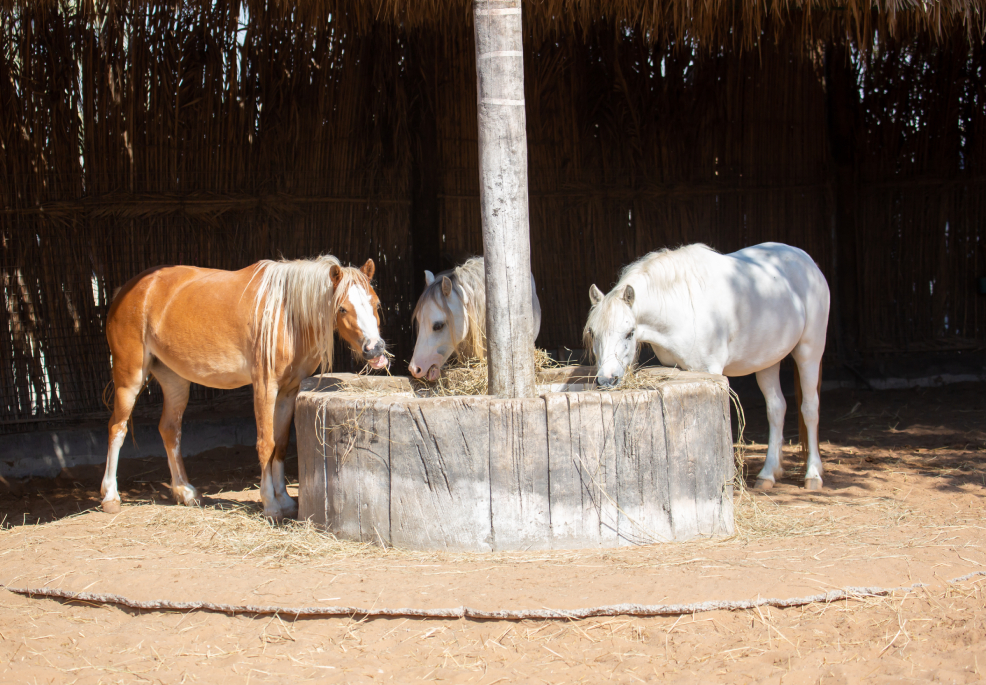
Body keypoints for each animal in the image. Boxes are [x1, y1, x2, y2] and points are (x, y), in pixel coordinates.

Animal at [101, 255, 388, 520]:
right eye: (342, 309)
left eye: (376, 304)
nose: (375, 349)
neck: (286, 314)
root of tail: (128, 290)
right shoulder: (265, 386)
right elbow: (265, 443)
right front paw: (270, 504)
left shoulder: (288, 391)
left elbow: (281, 444)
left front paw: (285, 501)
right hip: (129, 378)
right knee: (117, 428)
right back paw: (110, 497)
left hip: (175, 381)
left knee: (170, 430)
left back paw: (185, 492)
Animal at [584, 242, 830, 490]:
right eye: (593, 333)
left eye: (629, 332)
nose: (607, 379)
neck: (680, 308)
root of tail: (805, 260)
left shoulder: (708, 372)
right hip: (768, 360)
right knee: (776, 408)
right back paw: (768, 475)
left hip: (809, 351)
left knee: (810, 408)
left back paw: (813, 475)